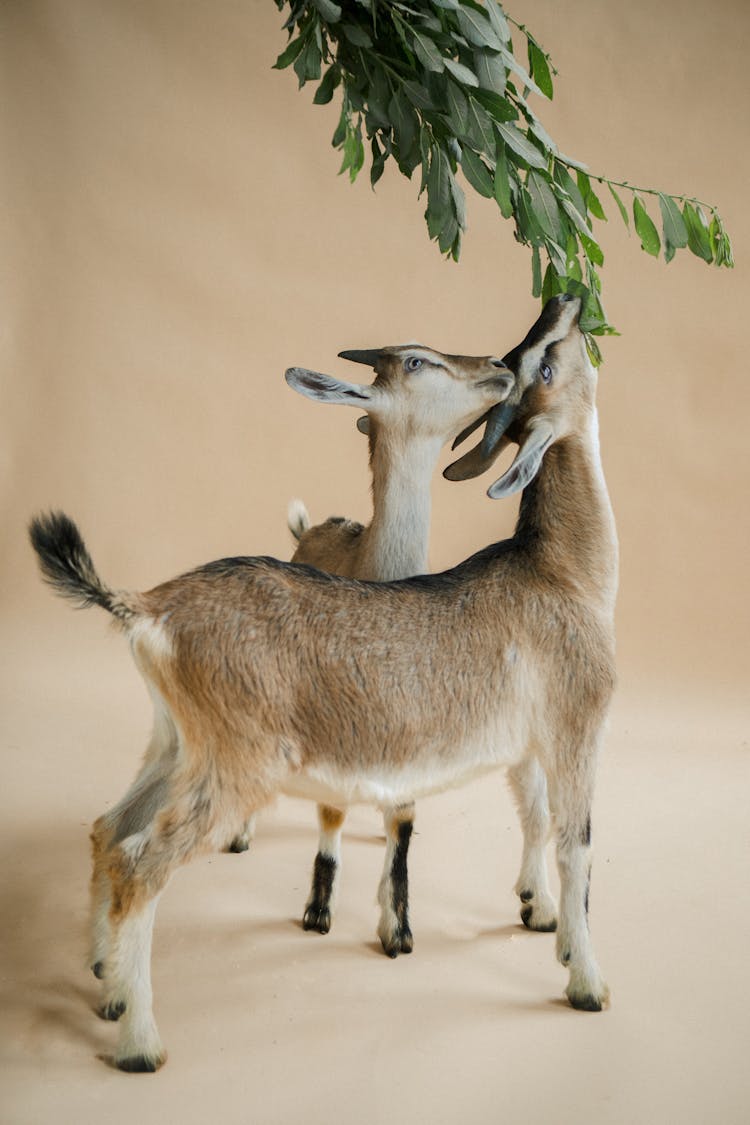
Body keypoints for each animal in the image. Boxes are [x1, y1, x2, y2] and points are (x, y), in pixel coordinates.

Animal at [229, 344, 519, 958]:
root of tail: (312, 529)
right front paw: (318, 912)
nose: (498, 365)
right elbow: (330, 811)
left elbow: (403, 821)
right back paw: (241, 836)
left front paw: (399, 928)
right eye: (415, 361)